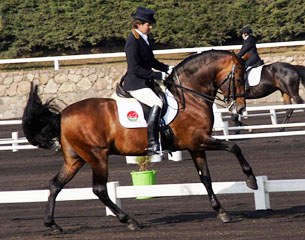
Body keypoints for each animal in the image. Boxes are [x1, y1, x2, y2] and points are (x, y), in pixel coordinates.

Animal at [21, 49, 256, 234]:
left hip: (75, 158)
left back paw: (52, 225)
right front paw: (250, 180)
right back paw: (130, 221)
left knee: (55, 184)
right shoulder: (200, 140)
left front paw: (221, 211)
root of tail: (62, 115)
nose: (240, 109)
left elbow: (205, 178)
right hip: (97, 156)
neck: (190, 96)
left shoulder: (195, 146)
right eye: (238, 78)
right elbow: (234, 146)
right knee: (99, 189)